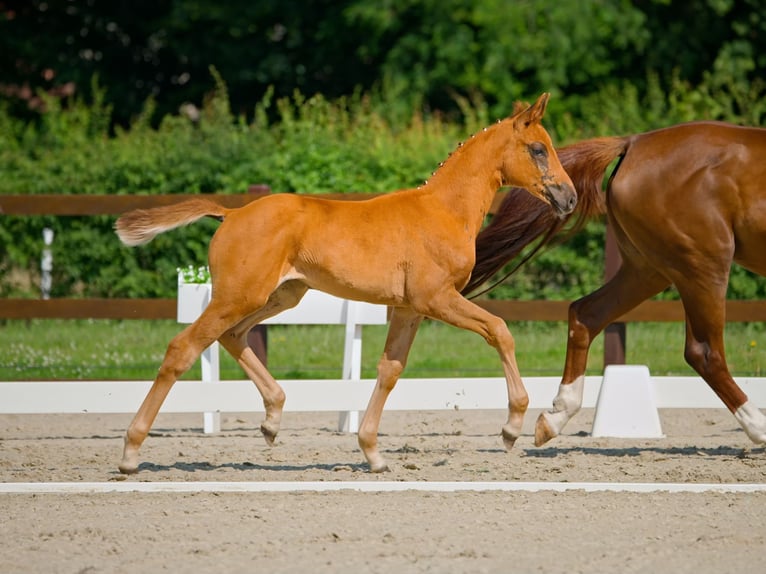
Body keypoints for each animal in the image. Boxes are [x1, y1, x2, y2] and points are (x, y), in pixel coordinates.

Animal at [113, 93, 577, 474]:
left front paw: (373, 453)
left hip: (280, 296)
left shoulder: (409, 308)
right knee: (184, 347)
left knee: (232, 336)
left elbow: (390, 370)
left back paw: (272, 421)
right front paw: (513, 427)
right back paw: (131, 453)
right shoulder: (437, 299)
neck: (444, 211)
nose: (569, 198)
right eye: (538, 149)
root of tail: (231, 213)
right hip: (239, 296)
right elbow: (499, 330)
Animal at [467, 120, 766, 448]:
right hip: (703, 265)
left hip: (649, 270)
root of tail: (634, 143)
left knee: (586, 313)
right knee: (705, 353)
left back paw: (555, 417)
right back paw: (759, 427)